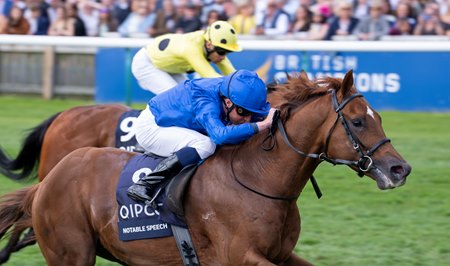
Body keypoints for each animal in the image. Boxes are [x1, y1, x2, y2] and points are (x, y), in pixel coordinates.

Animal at [0, 70, 412, 264]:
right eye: (357, 121)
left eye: (377, 117)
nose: (400, 169)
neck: (257, 178)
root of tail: (46, 184)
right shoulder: (240, 257)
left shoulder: (281, 255)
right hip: (72, 254)